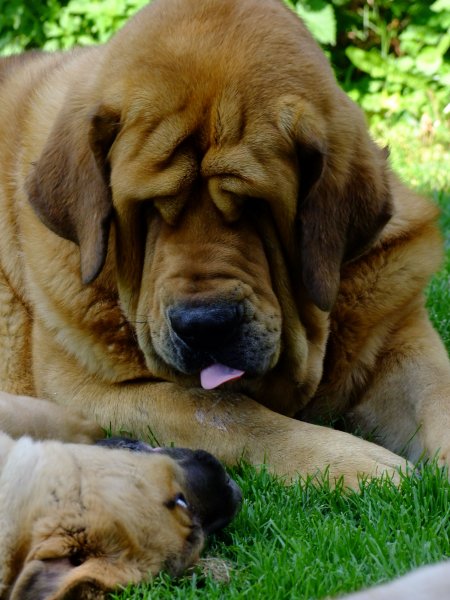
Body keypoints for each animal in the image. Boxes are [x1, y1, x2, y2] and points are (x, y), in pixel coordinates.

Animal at [0, 0, 450, 488]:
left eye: (255, 206)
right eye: (150, 208)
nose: (204, 325)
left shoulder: (401, 338)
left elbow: (437, 394)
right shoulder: (78, 388)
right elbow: (218, 410)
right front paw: (360, 464)